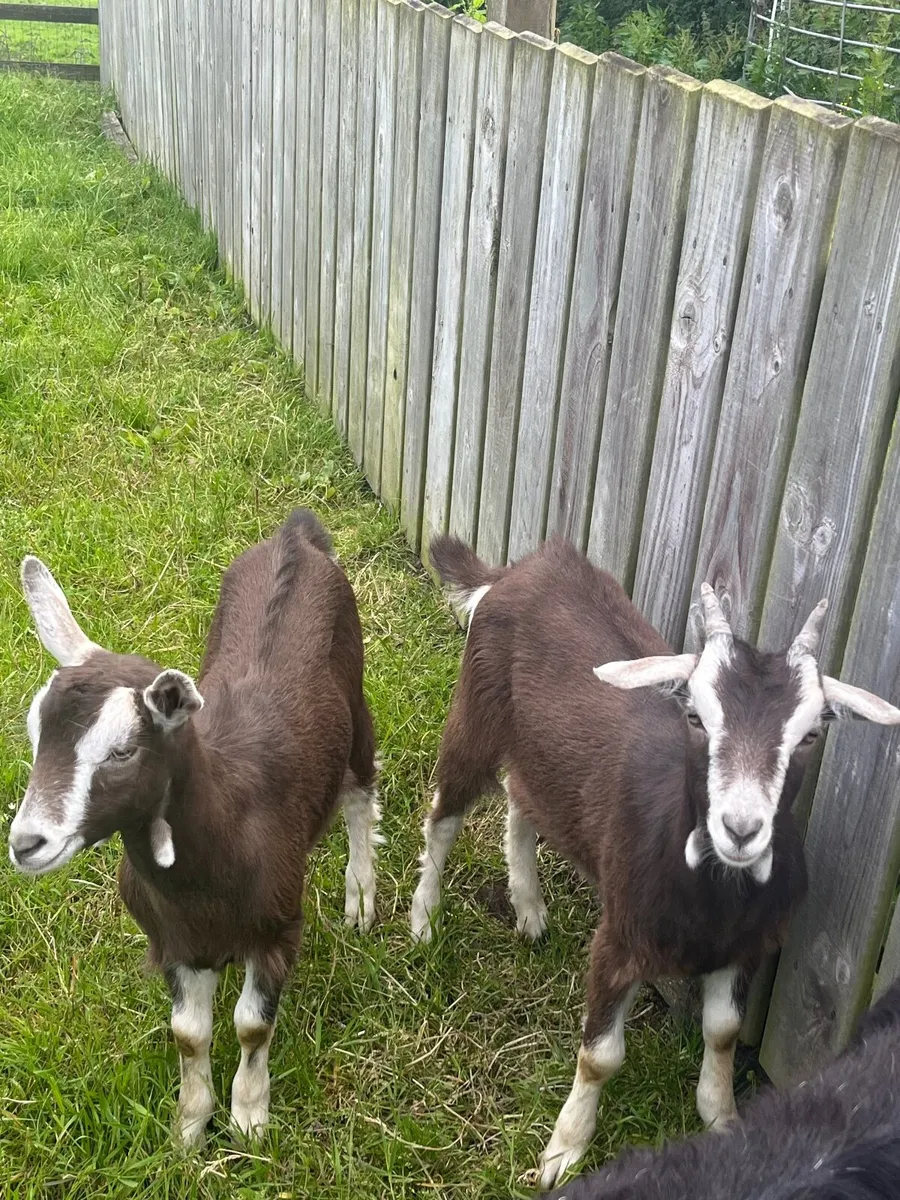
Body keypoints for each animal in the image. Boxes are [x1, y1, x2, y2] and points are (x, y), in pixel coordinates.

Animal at [8, 509, 380, 1147]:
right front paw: (189, 1127)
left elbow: (252, 1026)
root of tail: (295, 537)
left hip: (354, 705)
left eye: (122, 751)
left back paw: (360, 896)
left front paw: (250, 1120)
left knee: (360, 790)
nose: (27, 843)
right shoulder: (172, 942)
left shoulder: (279, 928)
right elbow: (189, 1033)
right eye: (34, 733)